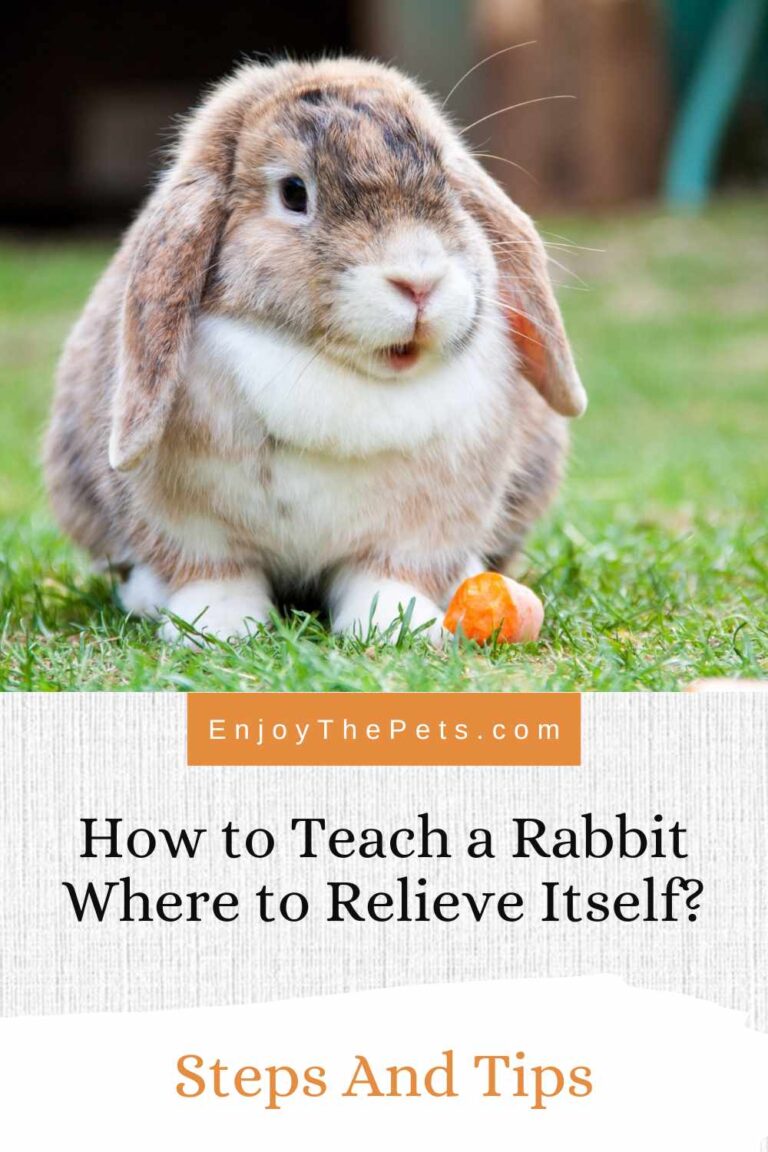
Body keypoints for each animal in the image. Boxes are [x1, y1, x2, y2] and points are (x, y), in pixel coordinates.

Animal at [44, 57, 586, 646]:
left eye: (445, 179)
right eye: (294, 193)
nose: (419, 282)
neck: (336, 371)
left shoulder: (420, 530)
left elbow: (389, 576)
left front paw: (397, 628)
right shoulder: (191, 527)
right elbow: (215, 574)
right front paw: (218, 629)